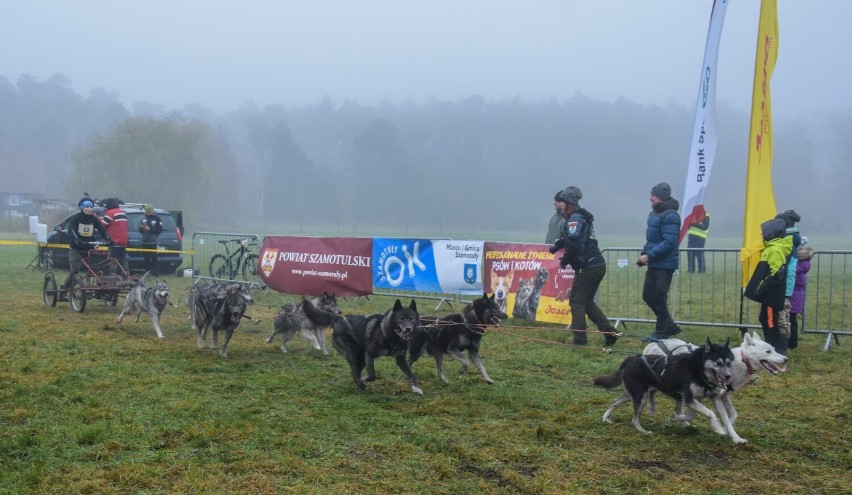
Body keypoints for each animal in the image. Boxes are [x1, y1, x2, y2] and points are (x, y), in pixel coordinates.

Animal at [644, 334, 788, 446]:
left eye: (774, 349)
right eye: (768, 351)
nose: (786, 359)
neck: (741, 362)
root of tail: (651, 345)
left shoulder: (722, 395)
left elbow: (732, 415)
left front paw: (732, 435)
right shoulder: (708, 395)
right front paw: (720, 428)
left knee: (678, 409)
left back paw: (684, 424)